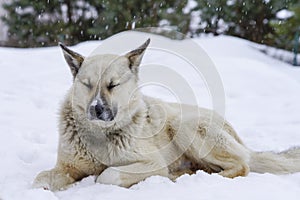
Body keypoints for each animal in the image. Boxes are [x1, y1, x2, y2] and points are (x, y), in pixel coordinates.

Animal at [32, 38, 300, 191]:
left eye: (112, 85)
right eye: (87, 84)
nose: (96, 109)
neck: (101, 135)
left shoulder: (151, 163)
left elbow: (107, 175)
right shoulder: (67, 167)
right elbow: (39, 179)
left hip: (187, 126)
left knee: (242, 166)